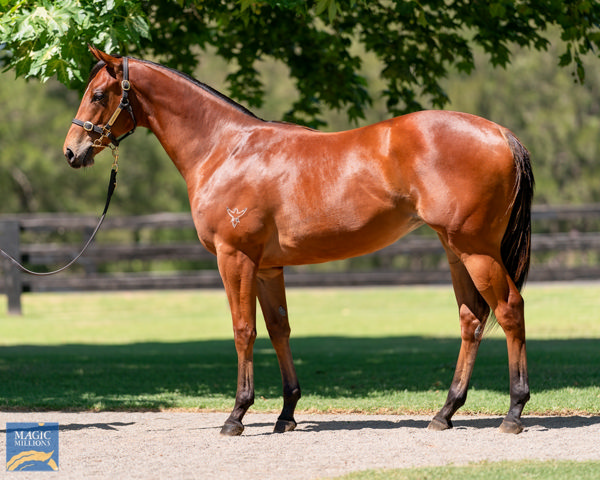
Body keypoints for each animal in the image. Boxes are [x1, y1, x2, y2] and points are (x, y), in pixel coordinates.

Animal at [64, 47, 536, 436]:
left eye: (100, 94)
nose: (72, 151)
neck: (226, 149)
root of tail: (500, 133)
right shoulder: (267, 267)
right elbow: (279, 330)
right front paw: (286, 414)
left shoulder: (234, 258)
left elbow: (243, 330)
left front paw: (237, 415)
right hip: (456, 251)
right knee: (472, 319)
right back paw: (445, 413)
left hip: (476, 250)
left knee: (509, 310)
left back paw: (514, 412)